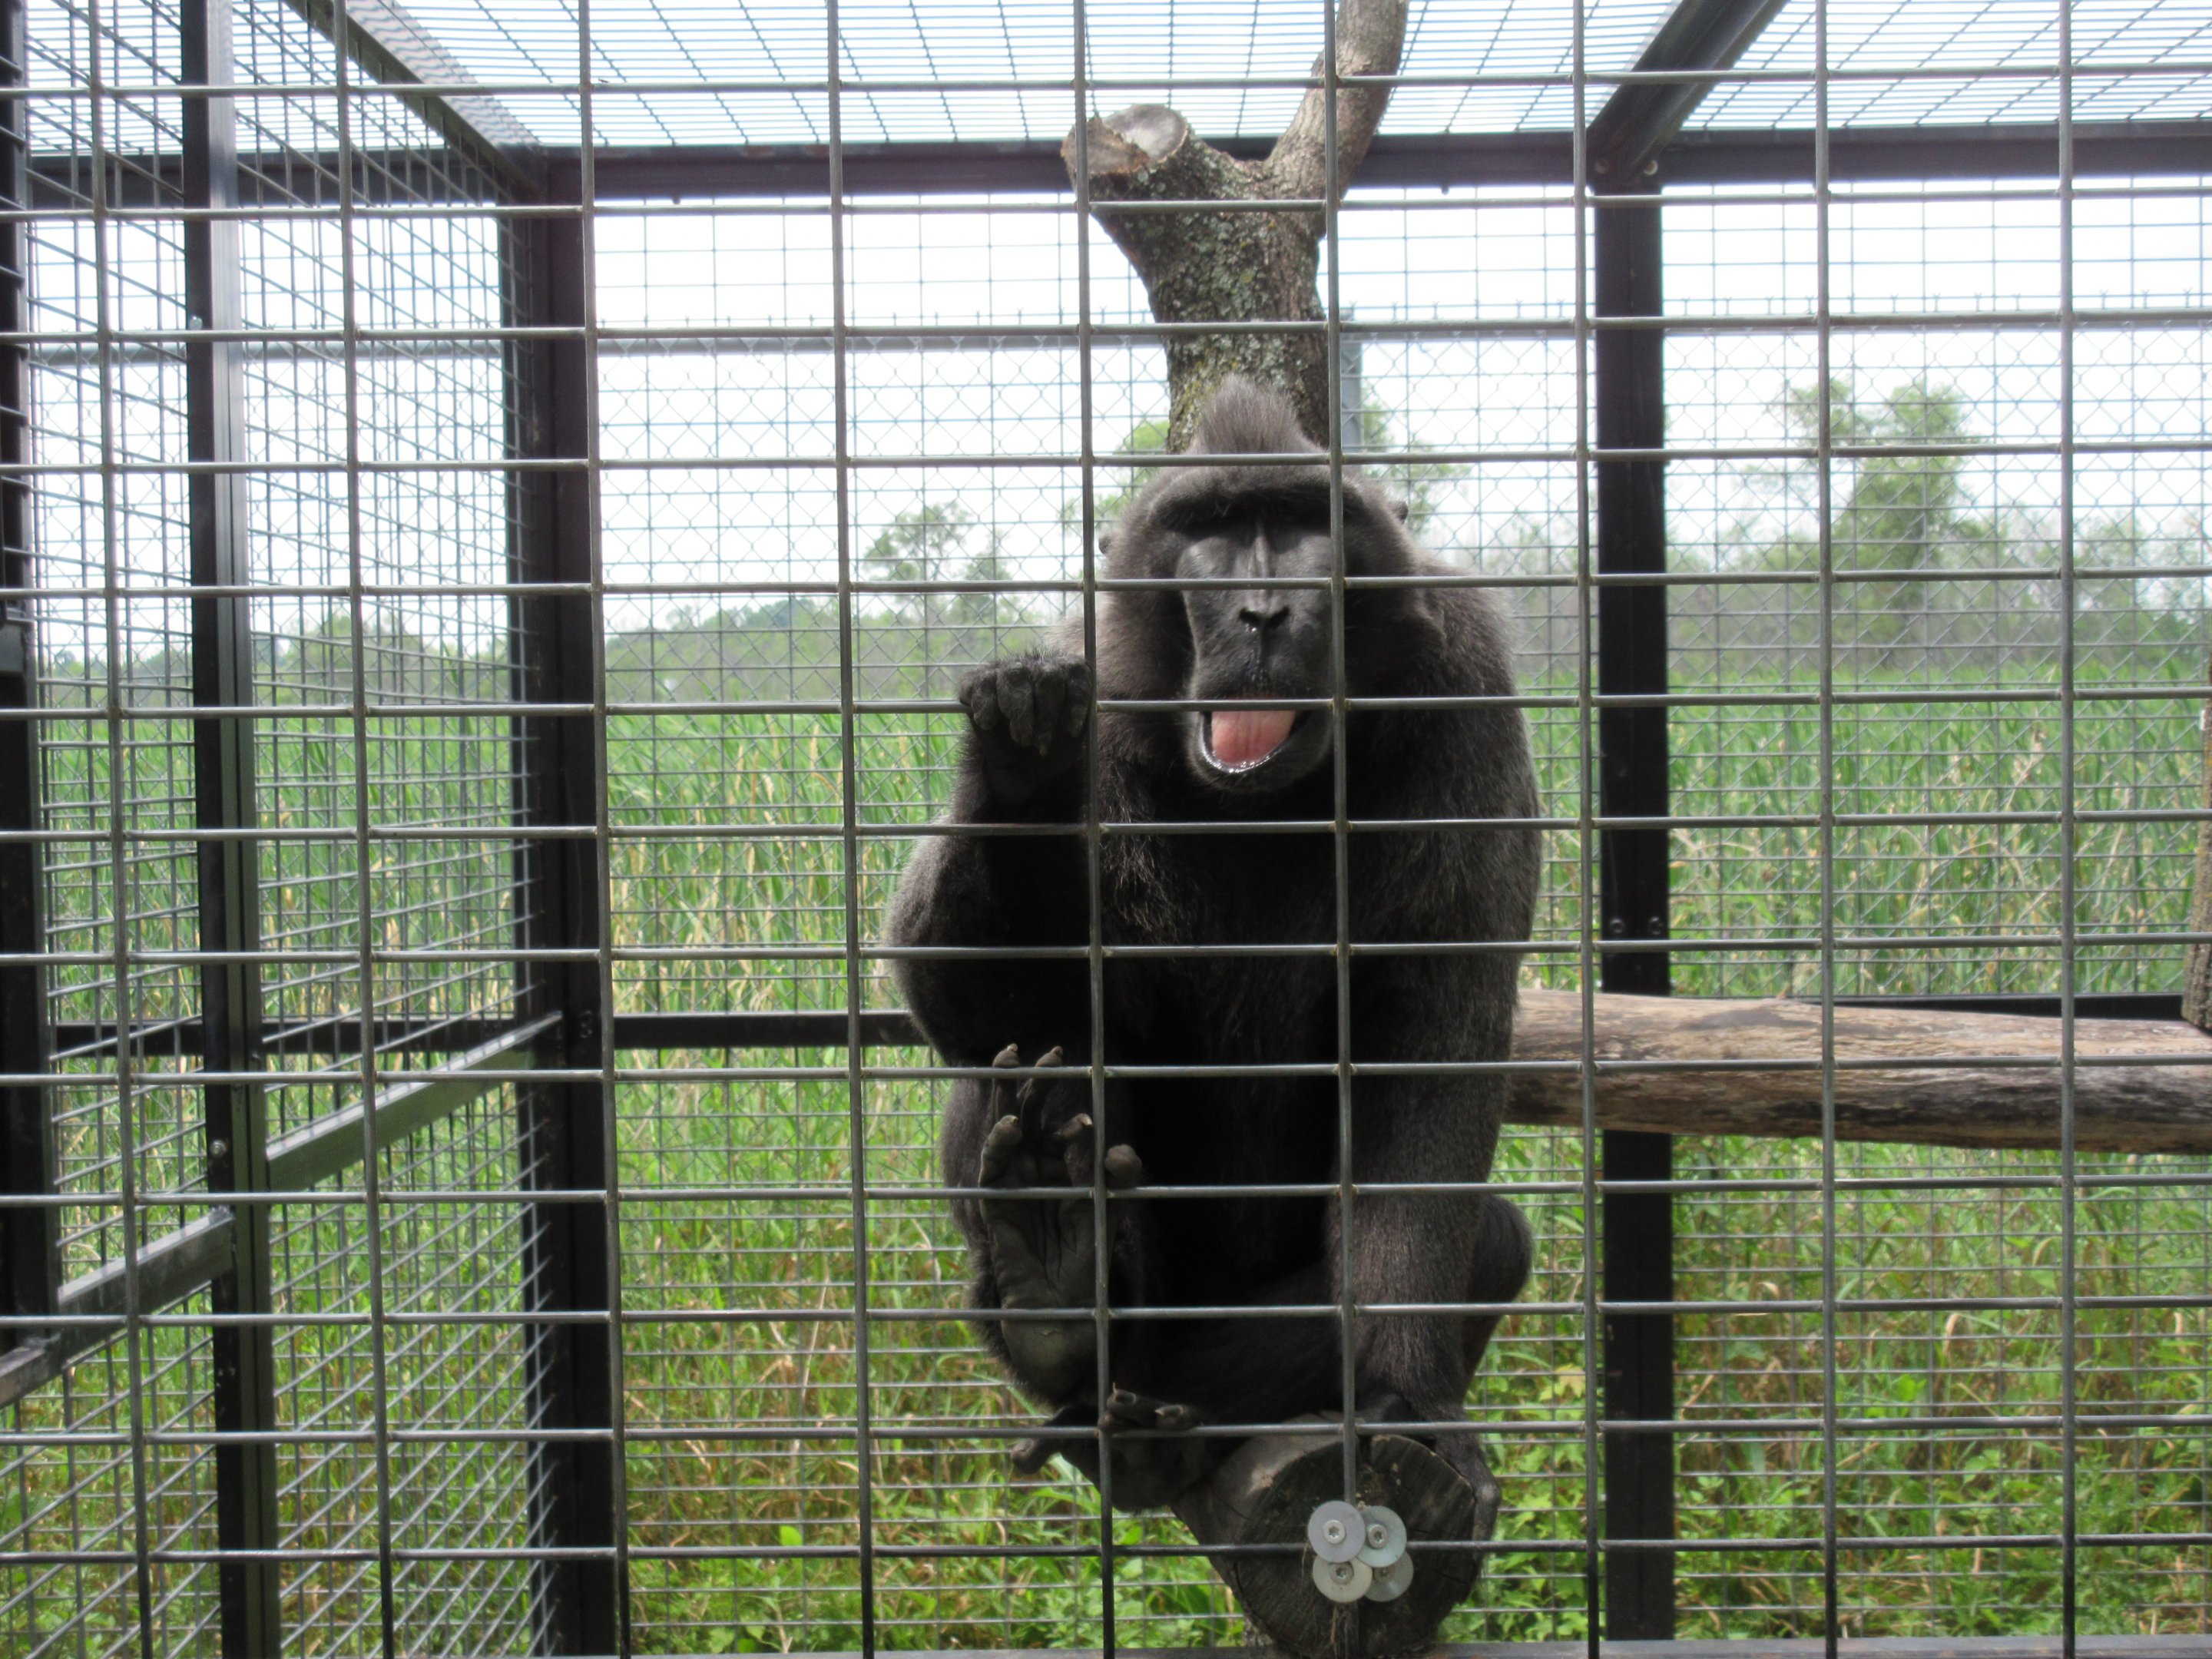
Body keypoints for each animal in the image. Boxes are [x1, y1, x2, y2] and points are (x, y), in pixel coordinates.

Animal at [886, 376, 1541, 1528]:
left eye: (1302, 525)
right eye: (1213, 531)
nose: (1265, 611)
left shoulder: (1465, 688)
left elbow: (1434, 1039)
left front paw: (1407, 1392)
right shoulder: (1103, 677)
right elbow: (970, 1002)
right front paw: (1020, 761)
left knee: (1491, 1242)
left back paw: (1150, 1424)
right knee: (1021, 1057)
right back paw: (1061, 1299)